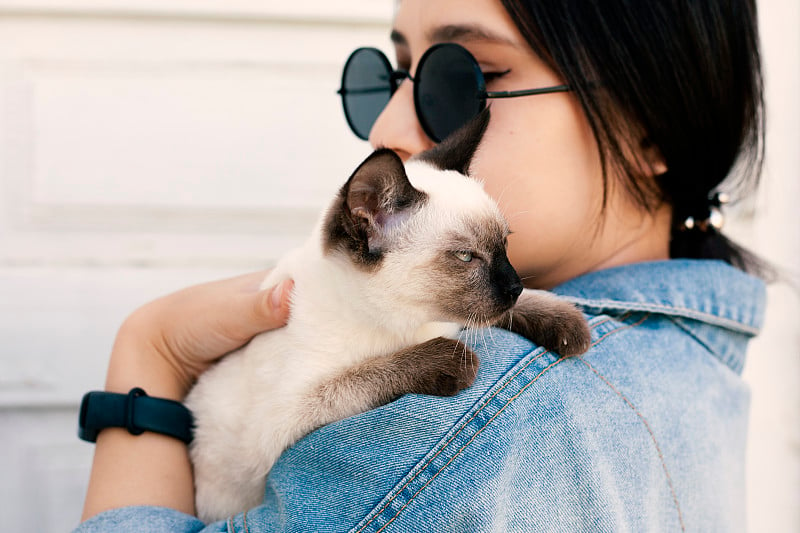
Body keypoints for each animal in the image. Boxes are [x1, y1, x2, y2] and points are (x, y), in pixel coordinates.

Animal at [184, 110, 592, 520]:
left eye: (505, 244)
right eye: (466, 257)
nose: (514, 286)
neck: (411, 322)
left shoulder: (458, 314)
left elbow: (495, 315)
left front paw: (570, 326)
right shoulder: (288, 417)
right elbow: (369, 371)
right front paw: (452, 359)